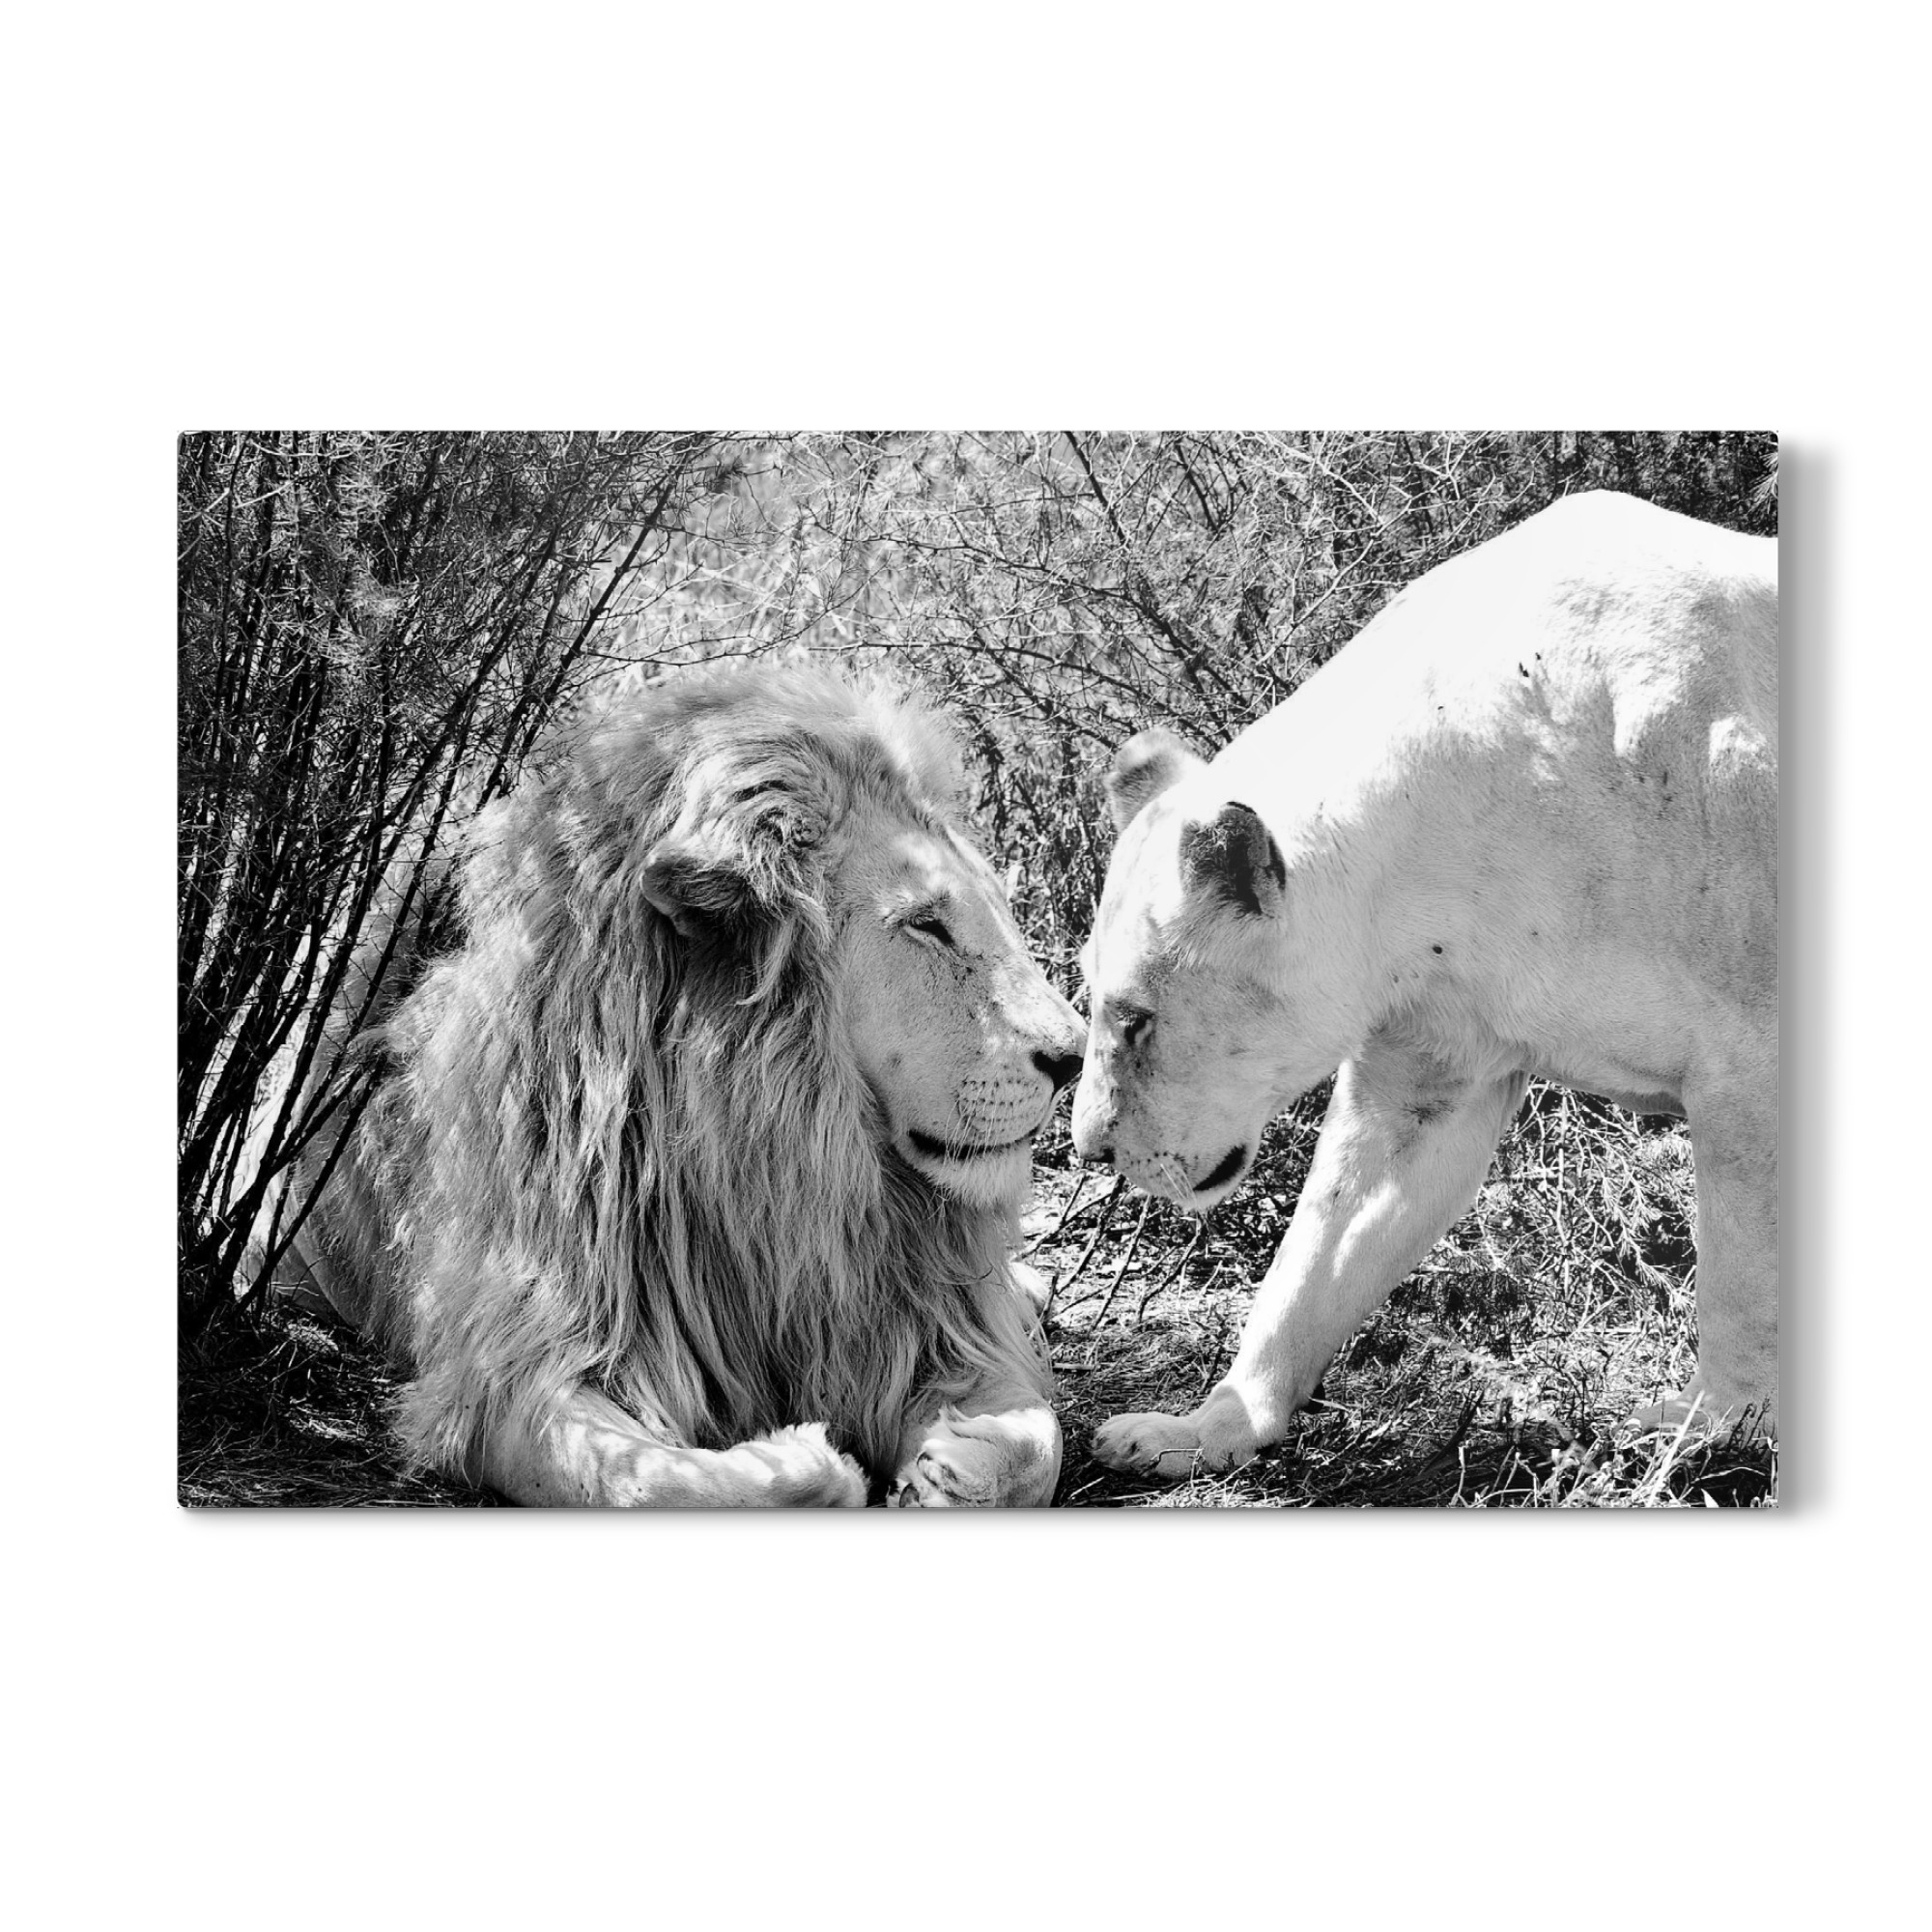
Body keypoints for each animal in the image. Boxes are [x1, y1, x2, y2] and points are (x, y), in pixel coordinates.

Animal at [283, 661, 1085, 1506]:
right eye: (926, 925)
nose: (1074, 1057)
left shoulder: (922, 1321)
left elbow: (1036, 1445)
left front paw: (949, 1475)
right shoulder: (525, 1358)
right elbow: (657, 1484)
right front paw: (812, 1460)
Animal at [1070, 490, 1777, 1479]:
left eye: (1135, 1019)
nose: (1089, 1151)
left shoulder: (1750, 1068)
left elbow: (1742, 1280)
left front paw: (1716, 1429)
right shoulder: (1429, 1072)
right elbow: (1311, 1264)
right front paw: (1209, 1428)